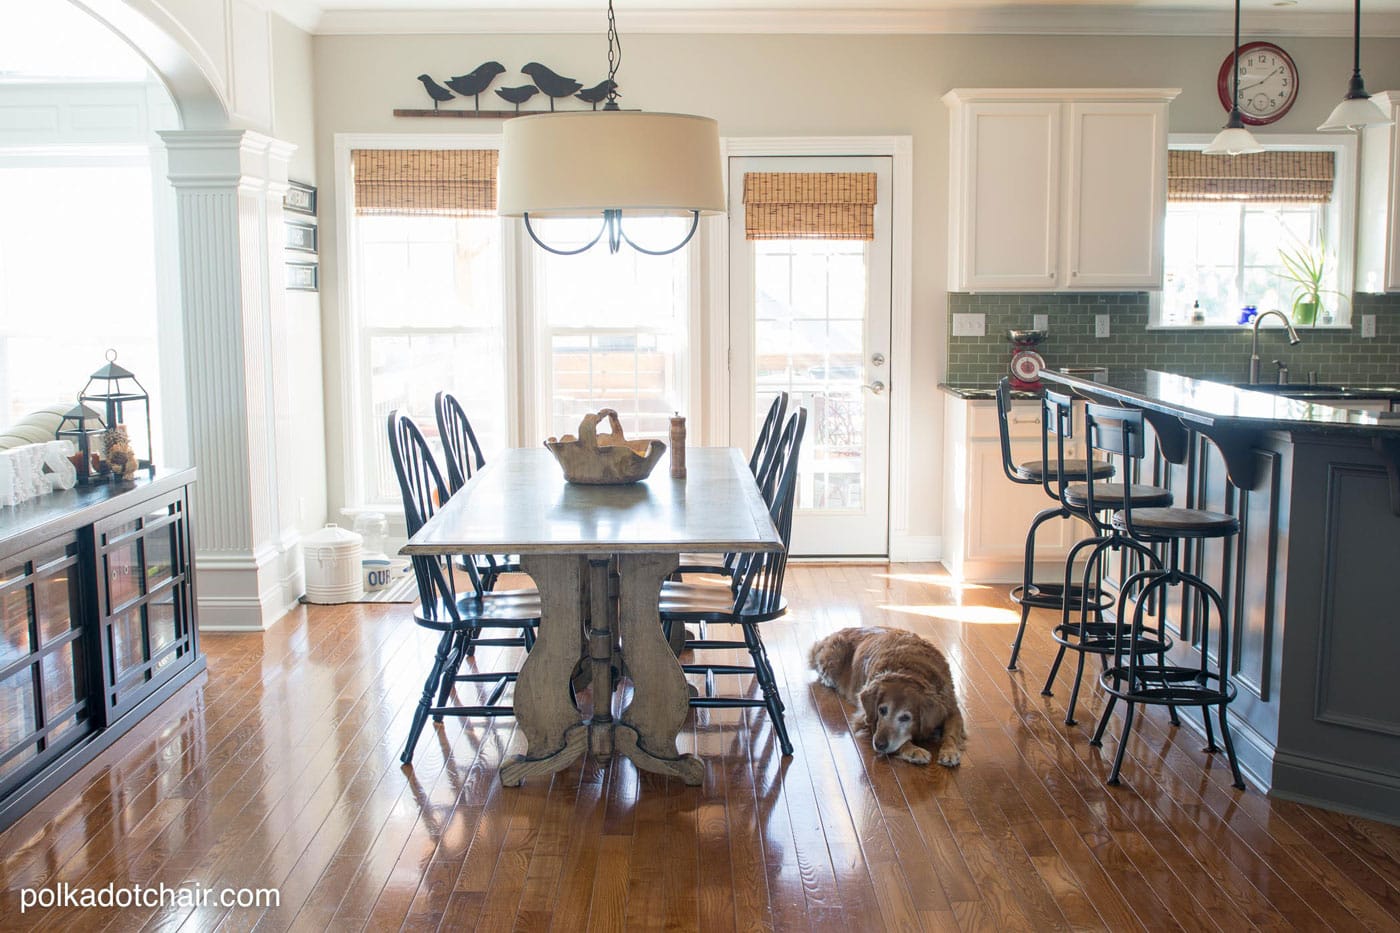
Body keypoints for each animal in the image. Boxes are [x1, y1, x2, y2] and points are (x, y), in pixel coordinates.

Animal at [812, 624, 963, 762]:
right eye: (882, 710)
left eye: (905, 717)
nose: (879, 745)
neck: (911, 672)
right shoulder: (866, 717)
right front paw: (913, 750)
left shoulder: (951, 706)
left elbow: (951, 732)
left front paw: (949, 750)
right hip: (835, 653)